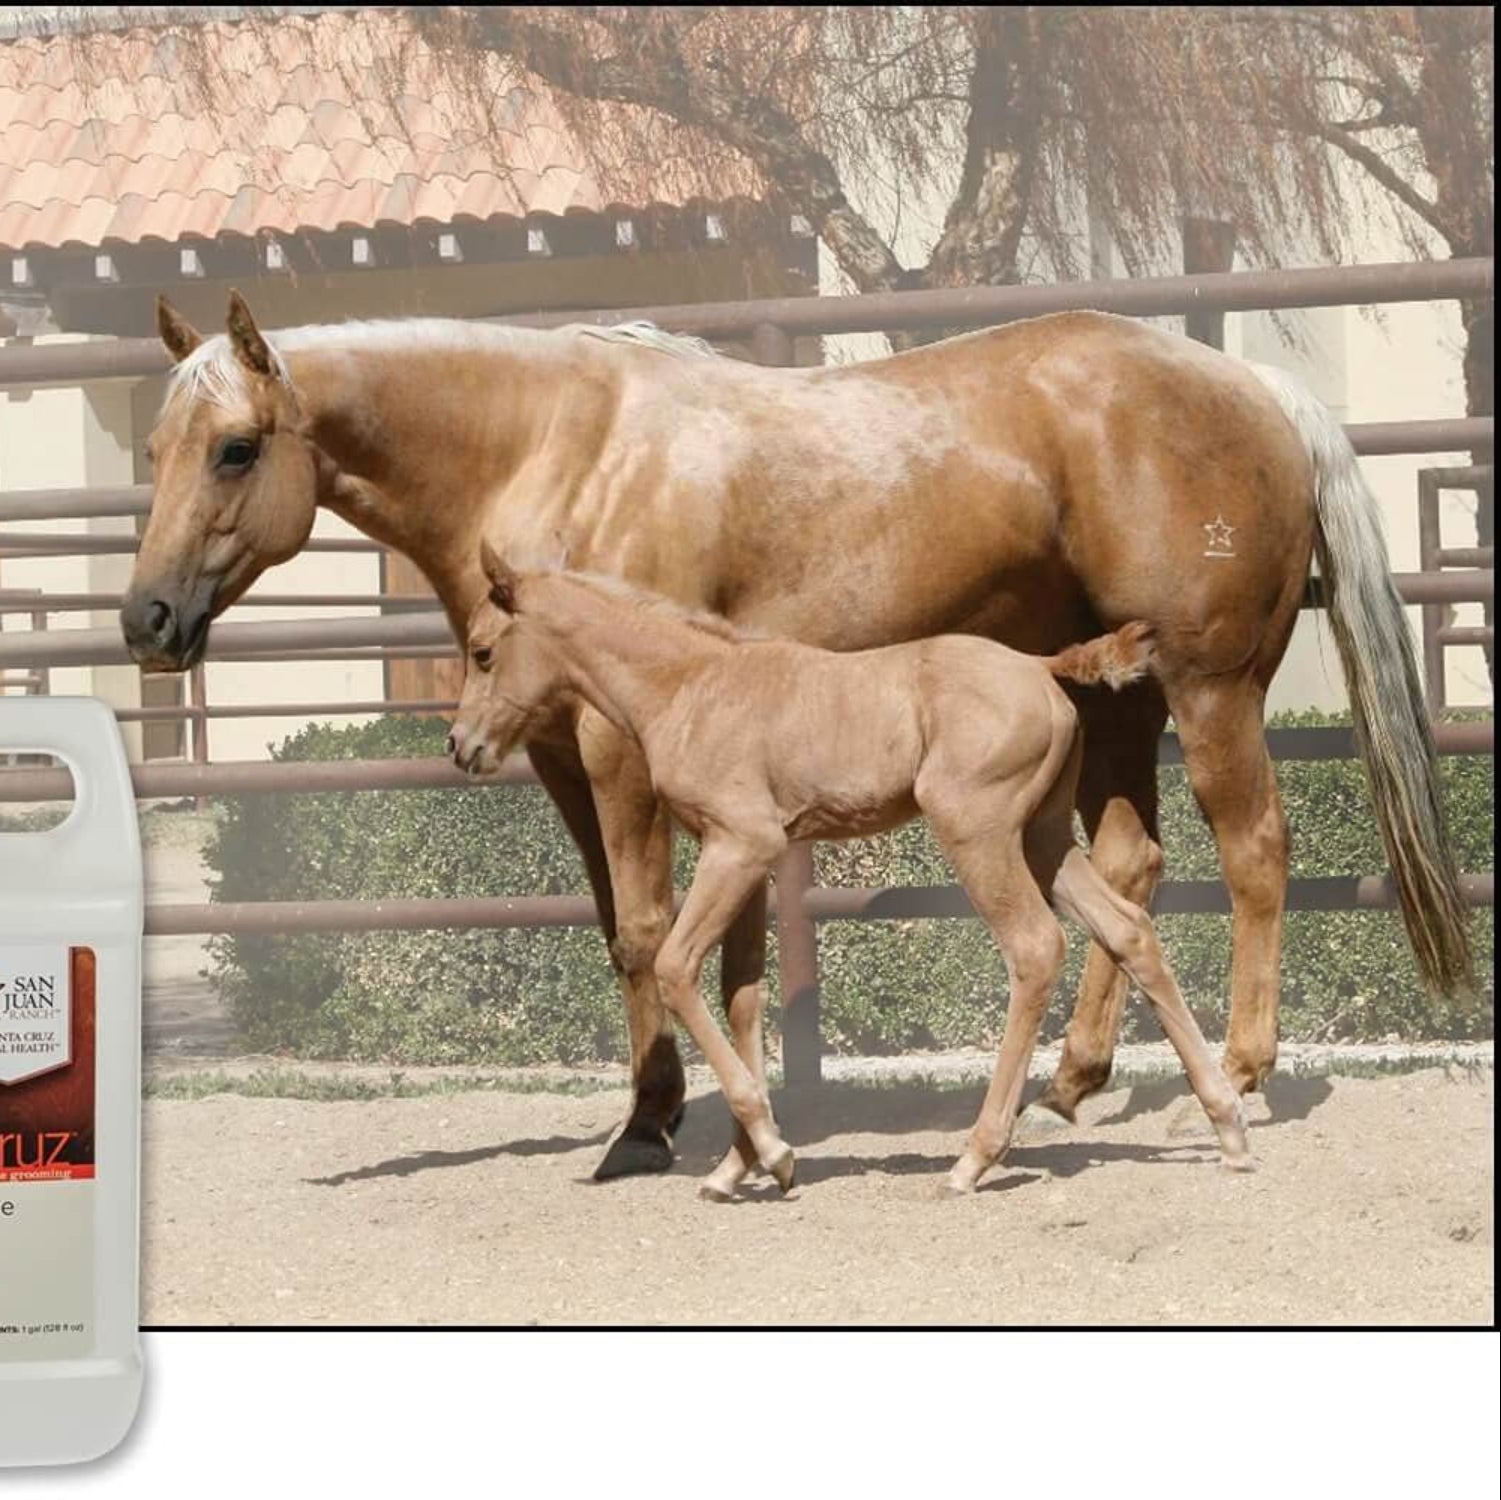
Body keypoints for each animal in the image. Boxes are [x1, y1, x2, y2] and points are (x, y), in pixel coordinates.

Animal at [450, 548, 1253, 1197]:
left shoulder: (738, 845)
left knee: (1034, 948)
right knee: (1129, 929)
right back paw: (1227, 1127)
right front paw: (737, 1166)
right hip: (1043, 836)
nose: (461, 745)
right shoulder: (747, 857)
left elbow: (677, 969)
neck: (690, 686)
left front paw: (773, 1154)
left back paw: (975, 1156)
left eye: (483, 652)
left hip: (979, 833)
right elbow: (742, 996)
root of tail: (1038, 665)